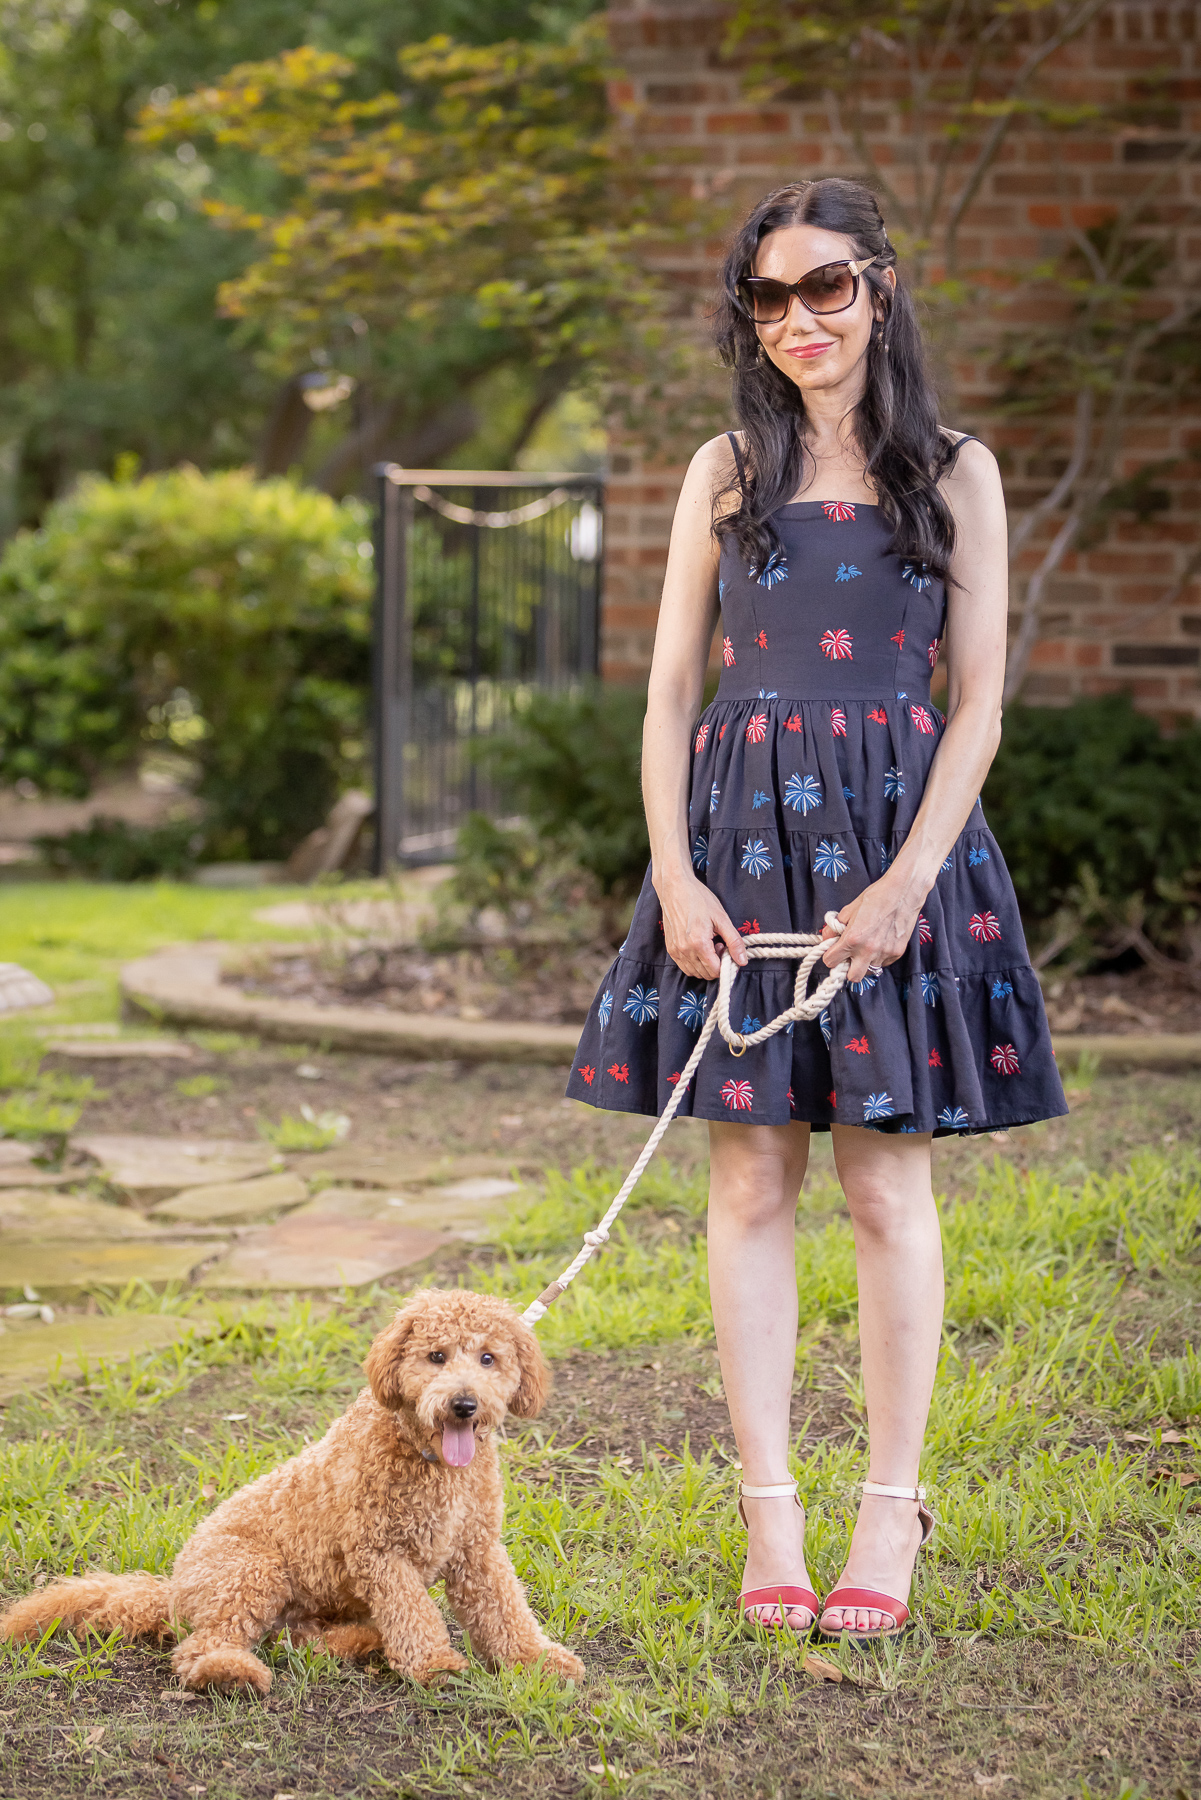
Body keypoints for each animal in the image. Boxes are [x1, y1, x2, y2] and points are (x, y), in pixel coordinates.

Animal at [0, 1296, 583, 1684]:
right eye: (436, 1356)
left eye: (488, 1358)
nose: (464, 1404)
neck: (431, 1459)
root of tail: (174, 1589)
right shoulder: (380, 1552)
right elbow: (413, 1614)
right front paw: (433, 1665)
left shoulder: (476, 1548)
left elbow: (505, 1610)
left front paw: (535, 1660)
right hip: (252, 1571)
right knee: (202, 1647)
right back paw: (231, 1673)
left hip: (302, 1603)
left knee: (297, 1640)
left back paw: (361, 1642)